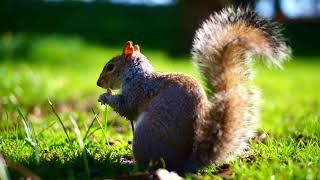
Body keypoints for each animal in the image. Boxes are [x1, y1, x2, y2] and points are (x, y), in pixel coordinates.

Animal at [96, 7, 292, 172]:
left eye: (110, 66)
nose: (98, 83)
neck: (135, 73)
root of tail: (185, 163)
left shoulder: (139, 90)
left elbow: (126, 107)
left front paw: (104, 97)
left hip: (146, 136)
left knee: (149, 164)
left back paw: (129, 163)